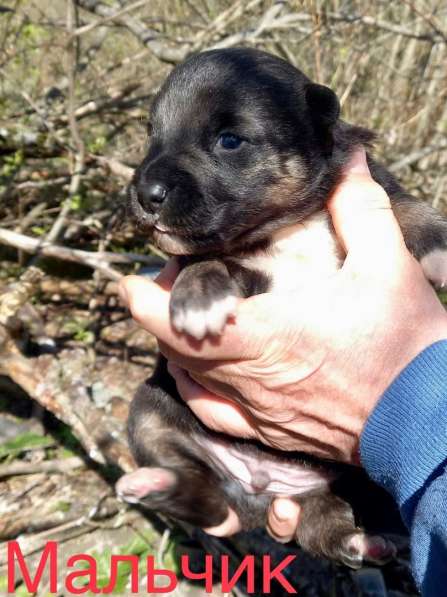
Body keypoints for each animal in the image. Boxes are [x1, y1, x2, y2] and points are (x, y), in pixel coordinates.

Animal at [117, 47, 447, 568]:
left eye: (230, 141)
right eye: (152, 133)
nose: (145, 194)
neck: (288, 225)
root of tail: (262, 491)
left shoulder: (372, 180)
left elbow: (406, 205)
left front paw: (439, 248)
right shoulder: (236, 267)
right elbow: (205, 259)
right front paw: (198, 299)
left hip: (360, 480)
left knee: (323, 527)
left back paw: (369, 541)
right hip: (150, 411)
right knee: (207, 500)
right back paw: (156, 484)